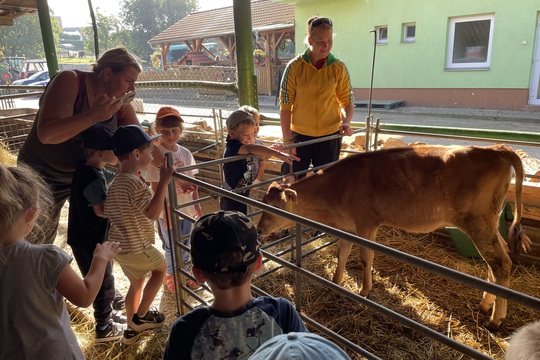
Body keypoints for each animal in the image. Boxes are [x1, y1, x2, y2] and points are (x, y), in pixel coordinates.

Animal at [258, 145, 532, 330]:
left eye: (273, 208)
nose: (259, 230)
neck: (338, 187)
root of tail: (495, 148)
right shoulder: (347, 227)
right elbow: (341, 254)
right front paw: (336, 283)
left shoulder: (367, 224)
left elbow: (366, 258)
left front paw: (364, 290)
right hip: (488, 222)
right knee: (499, 258)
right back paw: (486, 305)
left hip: (477, 221)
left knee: (500, 262)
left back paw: (495, 319)